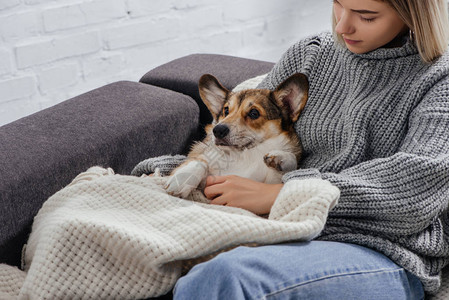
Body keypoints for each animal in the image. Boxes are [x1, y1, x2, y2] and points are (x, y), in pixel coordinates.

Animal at [164, 73, 308, 199]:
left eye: (254, 113)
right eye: (226, 110)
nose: (218, 130)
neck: (245, 154)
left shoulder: (270, 181)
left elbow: (289, 162)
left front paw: (280, 158)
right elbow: (200, 161)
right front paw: (181, 181)